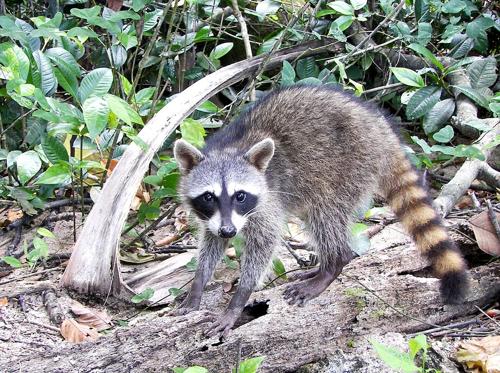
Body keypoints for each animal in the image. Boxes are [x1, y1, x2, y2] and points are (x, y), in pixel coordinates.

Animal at [173, 85, 468, 336]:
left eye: (240, 196)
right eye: (209, 196)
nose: (228, 231)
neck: (229, 149)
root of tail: (380, 129)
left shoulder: (267, 201)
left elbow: (264, 243)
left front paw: (238, 299)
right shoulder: (214, 217)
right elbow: (211, 242)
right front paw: (198, 283)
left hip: (349, 166)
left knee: (325, 215)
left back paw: (332, 265)